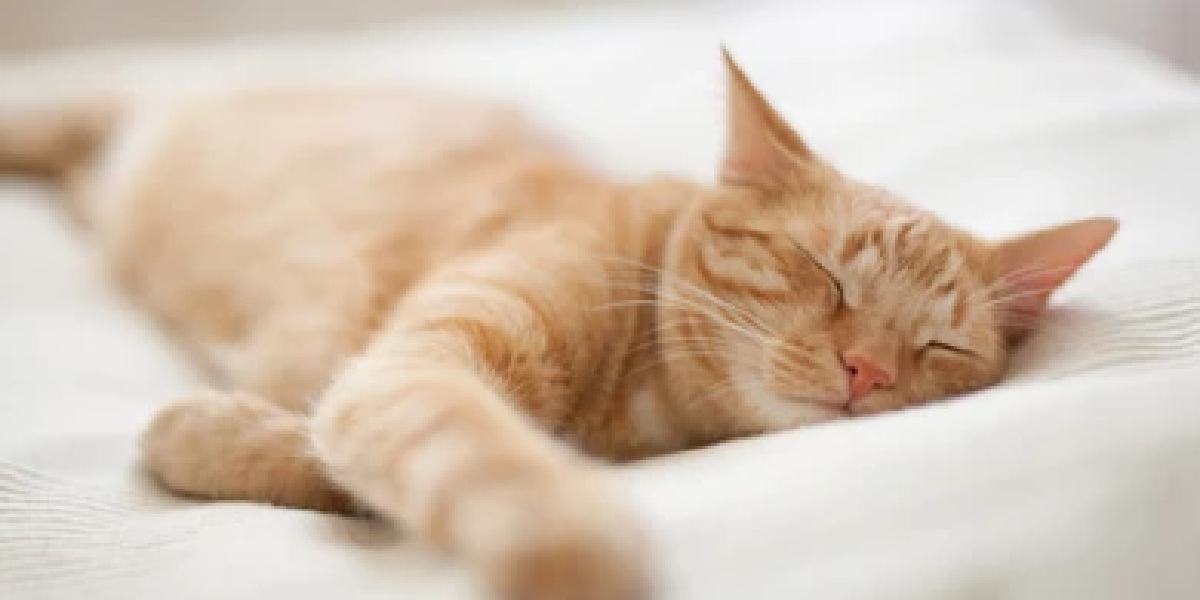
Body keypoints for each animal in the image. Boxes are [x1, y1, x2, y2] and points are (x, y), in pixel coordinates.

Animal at [0, 48, 1113, 600]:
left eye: (940, 346)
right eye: (825, 275)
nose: (867, 373)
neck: (641, 405)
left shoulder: (376, 386)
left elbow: (328, 451)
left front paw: (206, 431)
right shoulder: (415, 367)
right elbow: (475, 447)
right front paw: (567, 543)